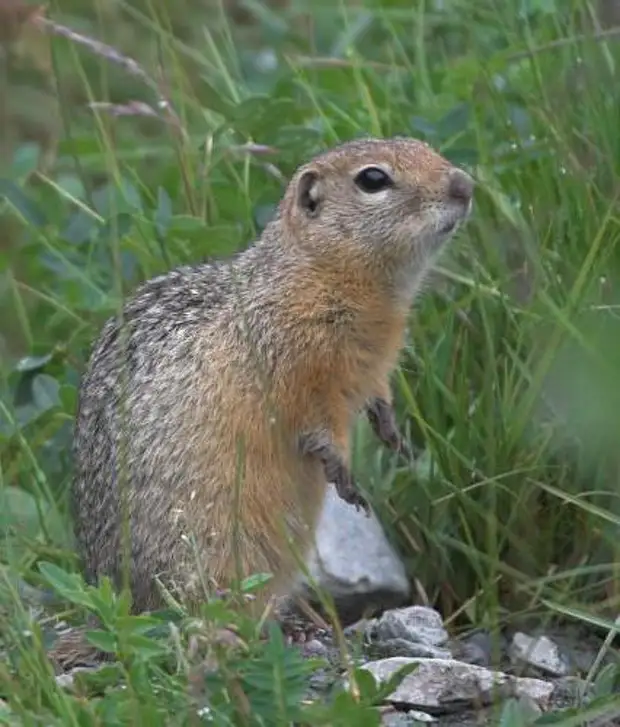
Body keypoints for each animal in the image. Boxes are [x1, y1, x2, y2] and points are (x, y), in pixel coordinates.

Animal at [69, 135, 474, 616]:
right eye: (373, 179)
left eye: (423, 145)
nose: (465, 185)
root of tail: (111, 588)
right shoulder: (297, 367)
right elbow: (318, 422)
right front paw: (344, 474)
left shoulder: (374, 367)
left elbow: (377, 394)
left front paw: (392, 433)